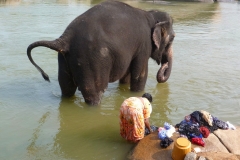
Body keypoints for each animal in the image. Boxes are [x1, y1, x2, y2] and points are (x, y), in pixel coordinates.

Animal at [27, 0, 175, 105]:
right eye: (173, 38)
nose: (164, 66)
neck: (150, 14)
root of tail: (64, 39)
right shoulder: (143, 45)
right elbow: (139, 77)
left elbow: (126, 76)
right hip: (91, 60)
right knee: (94, 94)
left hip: (64, 59)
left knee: (66, 89)